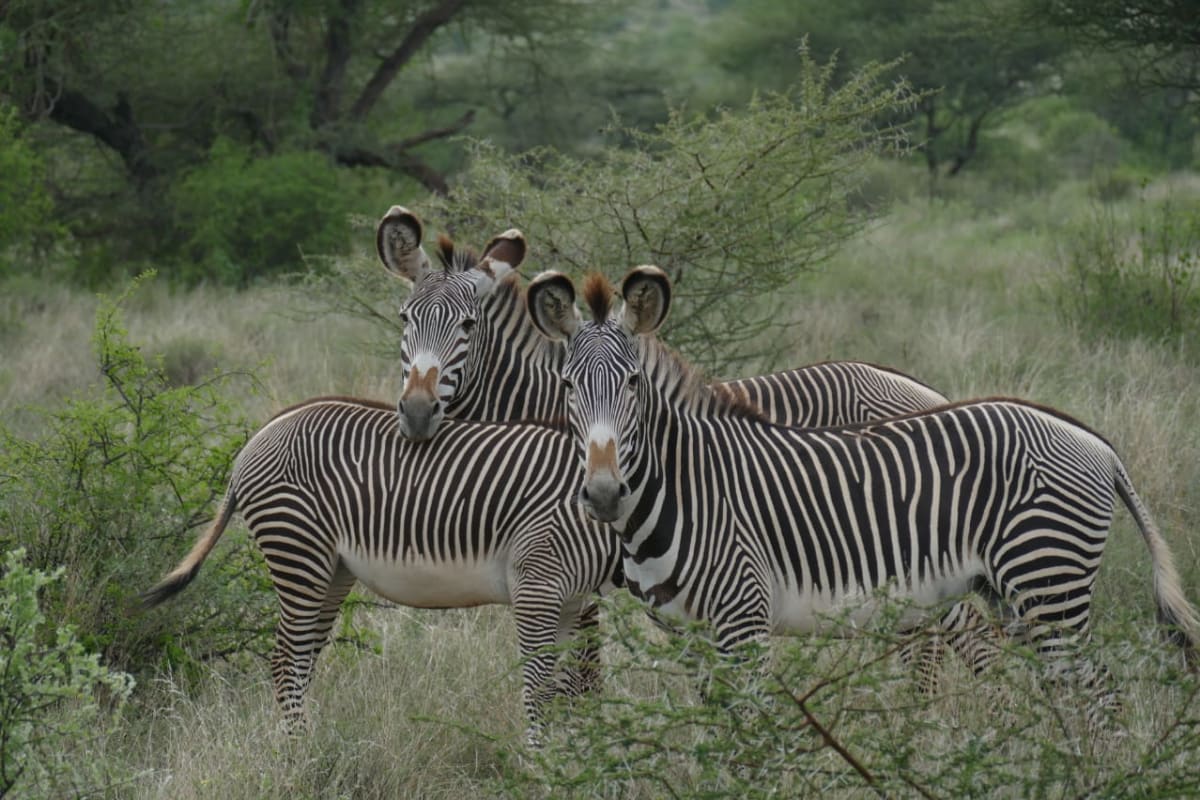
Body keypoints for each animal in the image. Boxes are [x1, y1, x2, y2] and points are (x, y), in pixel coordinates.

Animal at [143, 397, 619, 745]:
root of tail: (257, 437)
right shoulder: (539, 582)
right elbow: (546, 683)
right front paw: (545, 762)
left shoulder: (571, 596)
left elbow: (567, 680)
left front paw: (570, 753)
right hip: (298, 549)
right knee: (286, 660)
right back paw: (303, 756)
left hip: (331, 570)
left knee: (303, 659)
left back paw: (308, 744)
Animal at [374, 205, 996, 690]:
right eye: (404, 319)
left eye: (467, 326)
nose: (417, 412)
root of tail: (925, 390)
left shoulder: (577, 573)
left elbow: (581, 679)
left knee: (967, 639)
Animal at [524, 265, 1200, 725]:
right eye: (567, 386)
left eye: (633, 384)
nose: (604, 493)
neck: (684, 486)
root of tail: (1095, 442)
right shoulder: (689, 634)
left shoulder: (743, 619)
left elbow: (745, 735)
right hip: (1016, 594)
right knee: (1071, 692)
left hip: (1048, 583)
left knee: (1102, 696)